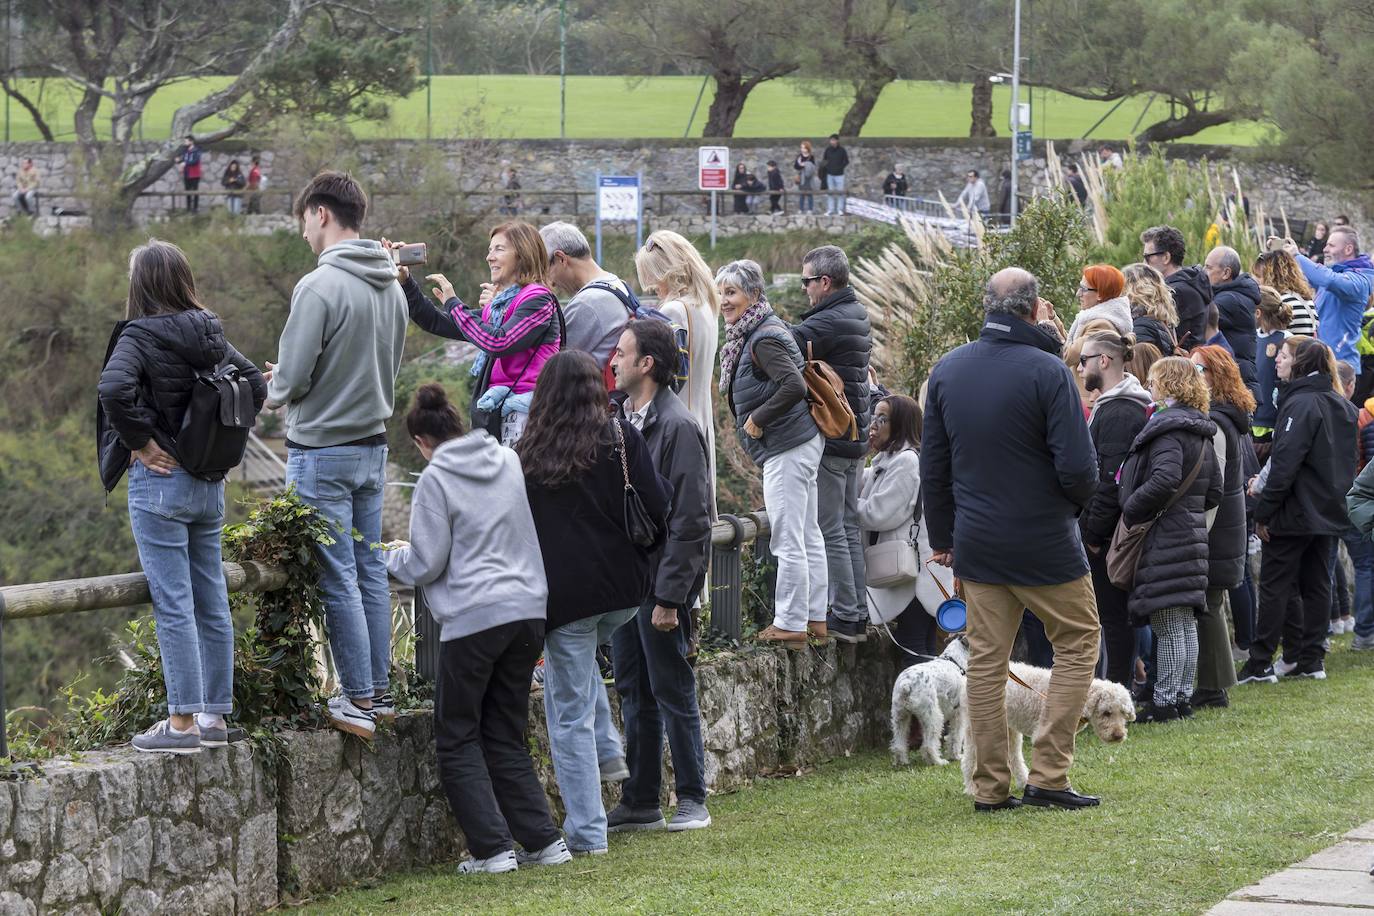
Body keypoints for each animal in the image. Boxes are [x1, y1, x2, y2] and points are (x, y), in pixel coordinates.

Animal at [890, 637, 967, 769]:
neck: (955, 661)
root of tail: (906, 683)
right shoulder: (959, 715)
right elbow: (956, 737)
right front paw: (956, 756)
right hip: (934, 717)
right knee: (928, 745)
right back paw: (938, 761)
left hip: (900, 717)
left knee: (899, 743)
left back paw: (902, 761)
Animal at [961, 659, 1132, 796]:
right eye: (1106, 713)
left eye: (1123, 713)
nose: (1118, 735)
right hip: (973, 729)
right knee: (969, 759)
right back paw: (972, 788)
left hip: (1010, 729)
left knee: (1014, 757)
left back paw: (1023, 781)